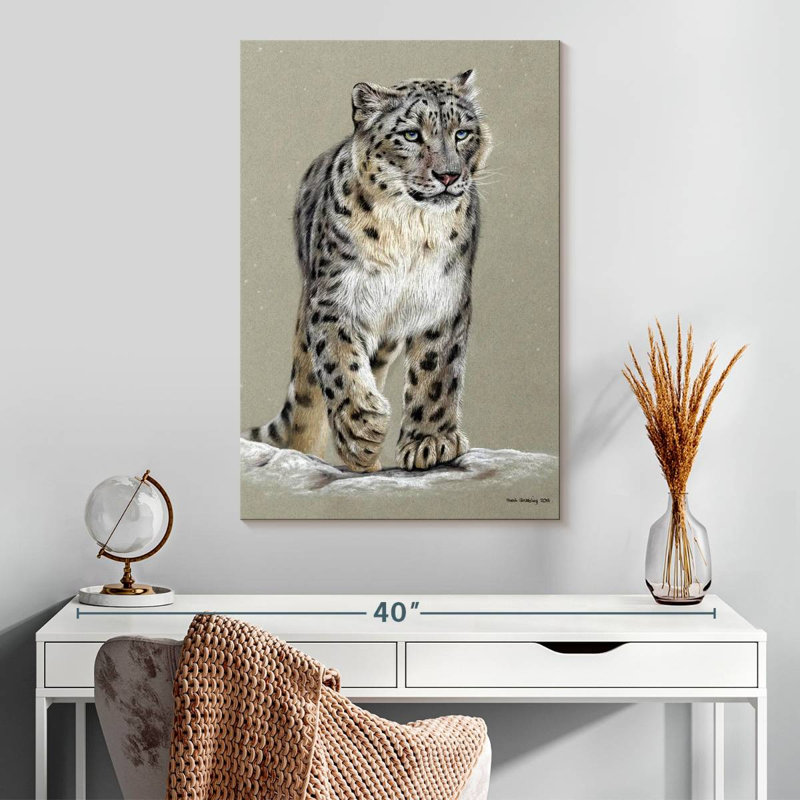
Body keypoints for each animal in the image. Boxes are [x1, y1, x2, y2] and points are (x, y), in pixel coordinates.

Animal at [246, 70, 492, 472]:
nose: (448, 175)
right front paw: (362, 429)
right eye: (411, 134)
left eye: (462, 133)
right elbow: (340, 364)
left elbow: (436, 371)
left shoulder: (443, 298)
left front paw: (430, 441)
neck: (411, 229)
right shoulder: (336, 299)